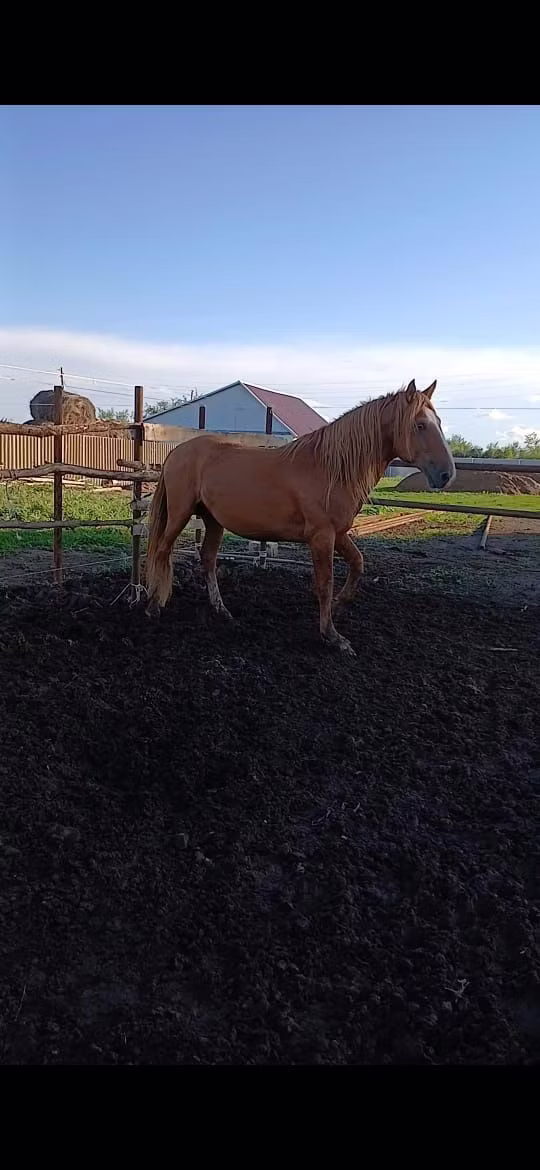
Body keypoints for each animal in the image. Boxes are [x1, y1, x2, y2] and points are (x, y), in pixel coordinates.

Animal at [145, 379, 455, 655]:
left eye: (438, 422)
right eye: (420, 425)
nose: (446, 474)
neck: (330, 468)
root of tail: (176, 452)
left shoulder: (338, 533)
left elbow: (357, 565)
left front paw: (339, 605)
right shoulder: (322, 536)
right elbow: (325, 582)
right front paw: (332, 636)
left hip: (213, 521)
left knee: (208, 559)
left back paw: (221, 610)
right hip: (180, 514)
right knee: (162, 551)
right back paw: (154, 606)